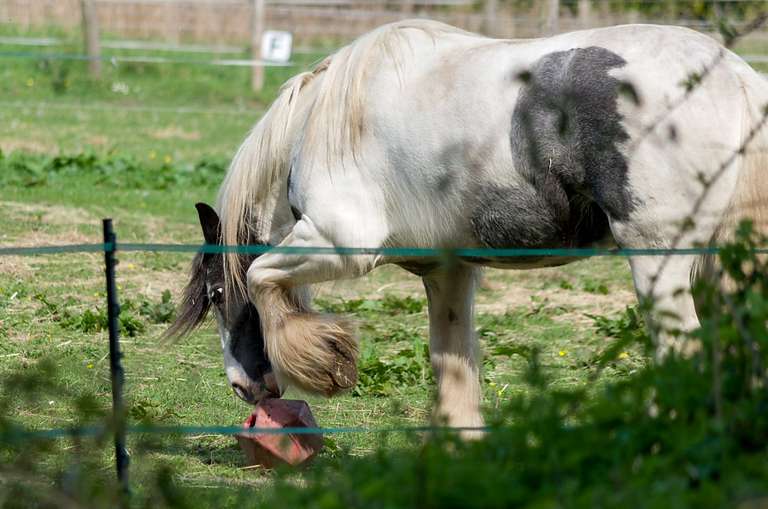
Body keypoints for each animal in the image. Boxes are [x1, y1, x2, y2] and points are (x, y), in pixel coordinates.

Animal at [168, 19, 768, 432]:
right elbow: (451, 361)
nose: (244, 387)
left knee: (682, 352)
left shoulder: (340, 244)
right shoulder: (448, 273)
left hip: (659, 263)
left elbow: (263, 276)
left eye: (217, 294)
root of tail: (737, 77)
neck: (320, 123)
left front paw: (324, 361)